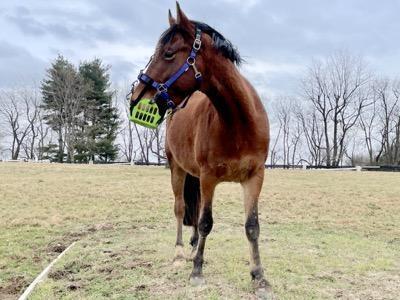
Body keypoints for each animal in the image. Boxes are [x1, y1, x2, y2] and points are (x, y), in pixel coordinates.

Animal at [131, 3, 272, 296]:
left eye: (168, 53)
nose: (136, 96)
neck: (238, 122)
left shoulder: (255, 178)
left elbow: (252, 226)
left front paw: (259, 277)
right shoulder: (209, 178)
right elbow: (207, 222)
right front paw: (197, 271)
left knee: (193, 212)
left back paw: (194, 244)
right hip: (177, 169)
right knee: (181, 208)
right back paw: (180, 253)